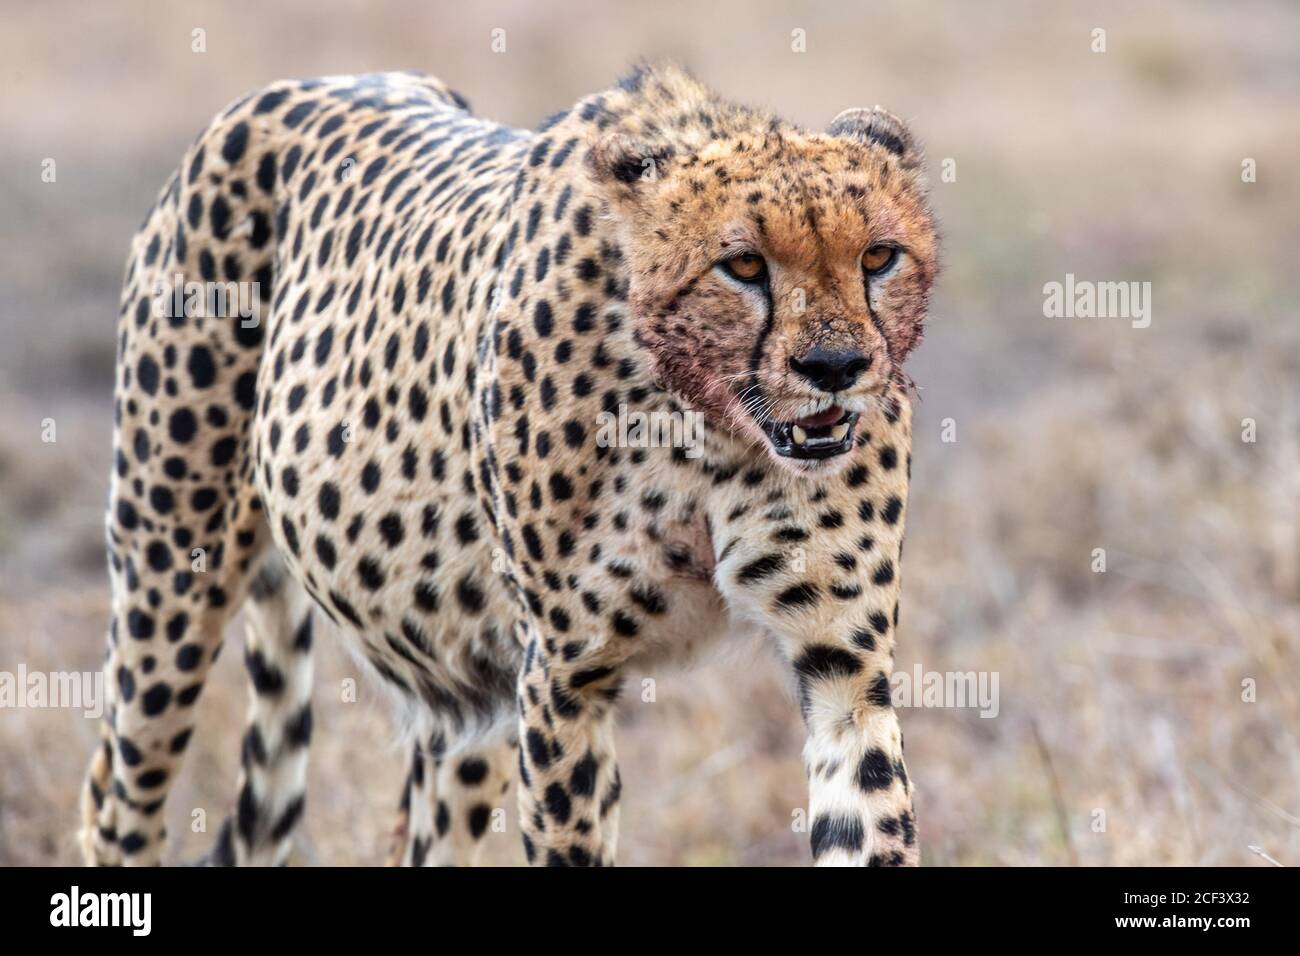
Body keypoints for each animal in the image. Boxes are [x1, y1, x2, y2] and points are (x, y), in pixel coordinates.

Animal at [80, 62, 938, 867]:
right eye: (745, 266)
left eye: (879, 256)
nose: (836, 366)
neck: (706, 424)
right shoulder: (564, 677)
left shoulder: (843, 665)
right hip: (169, 580)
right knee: (115, 798)